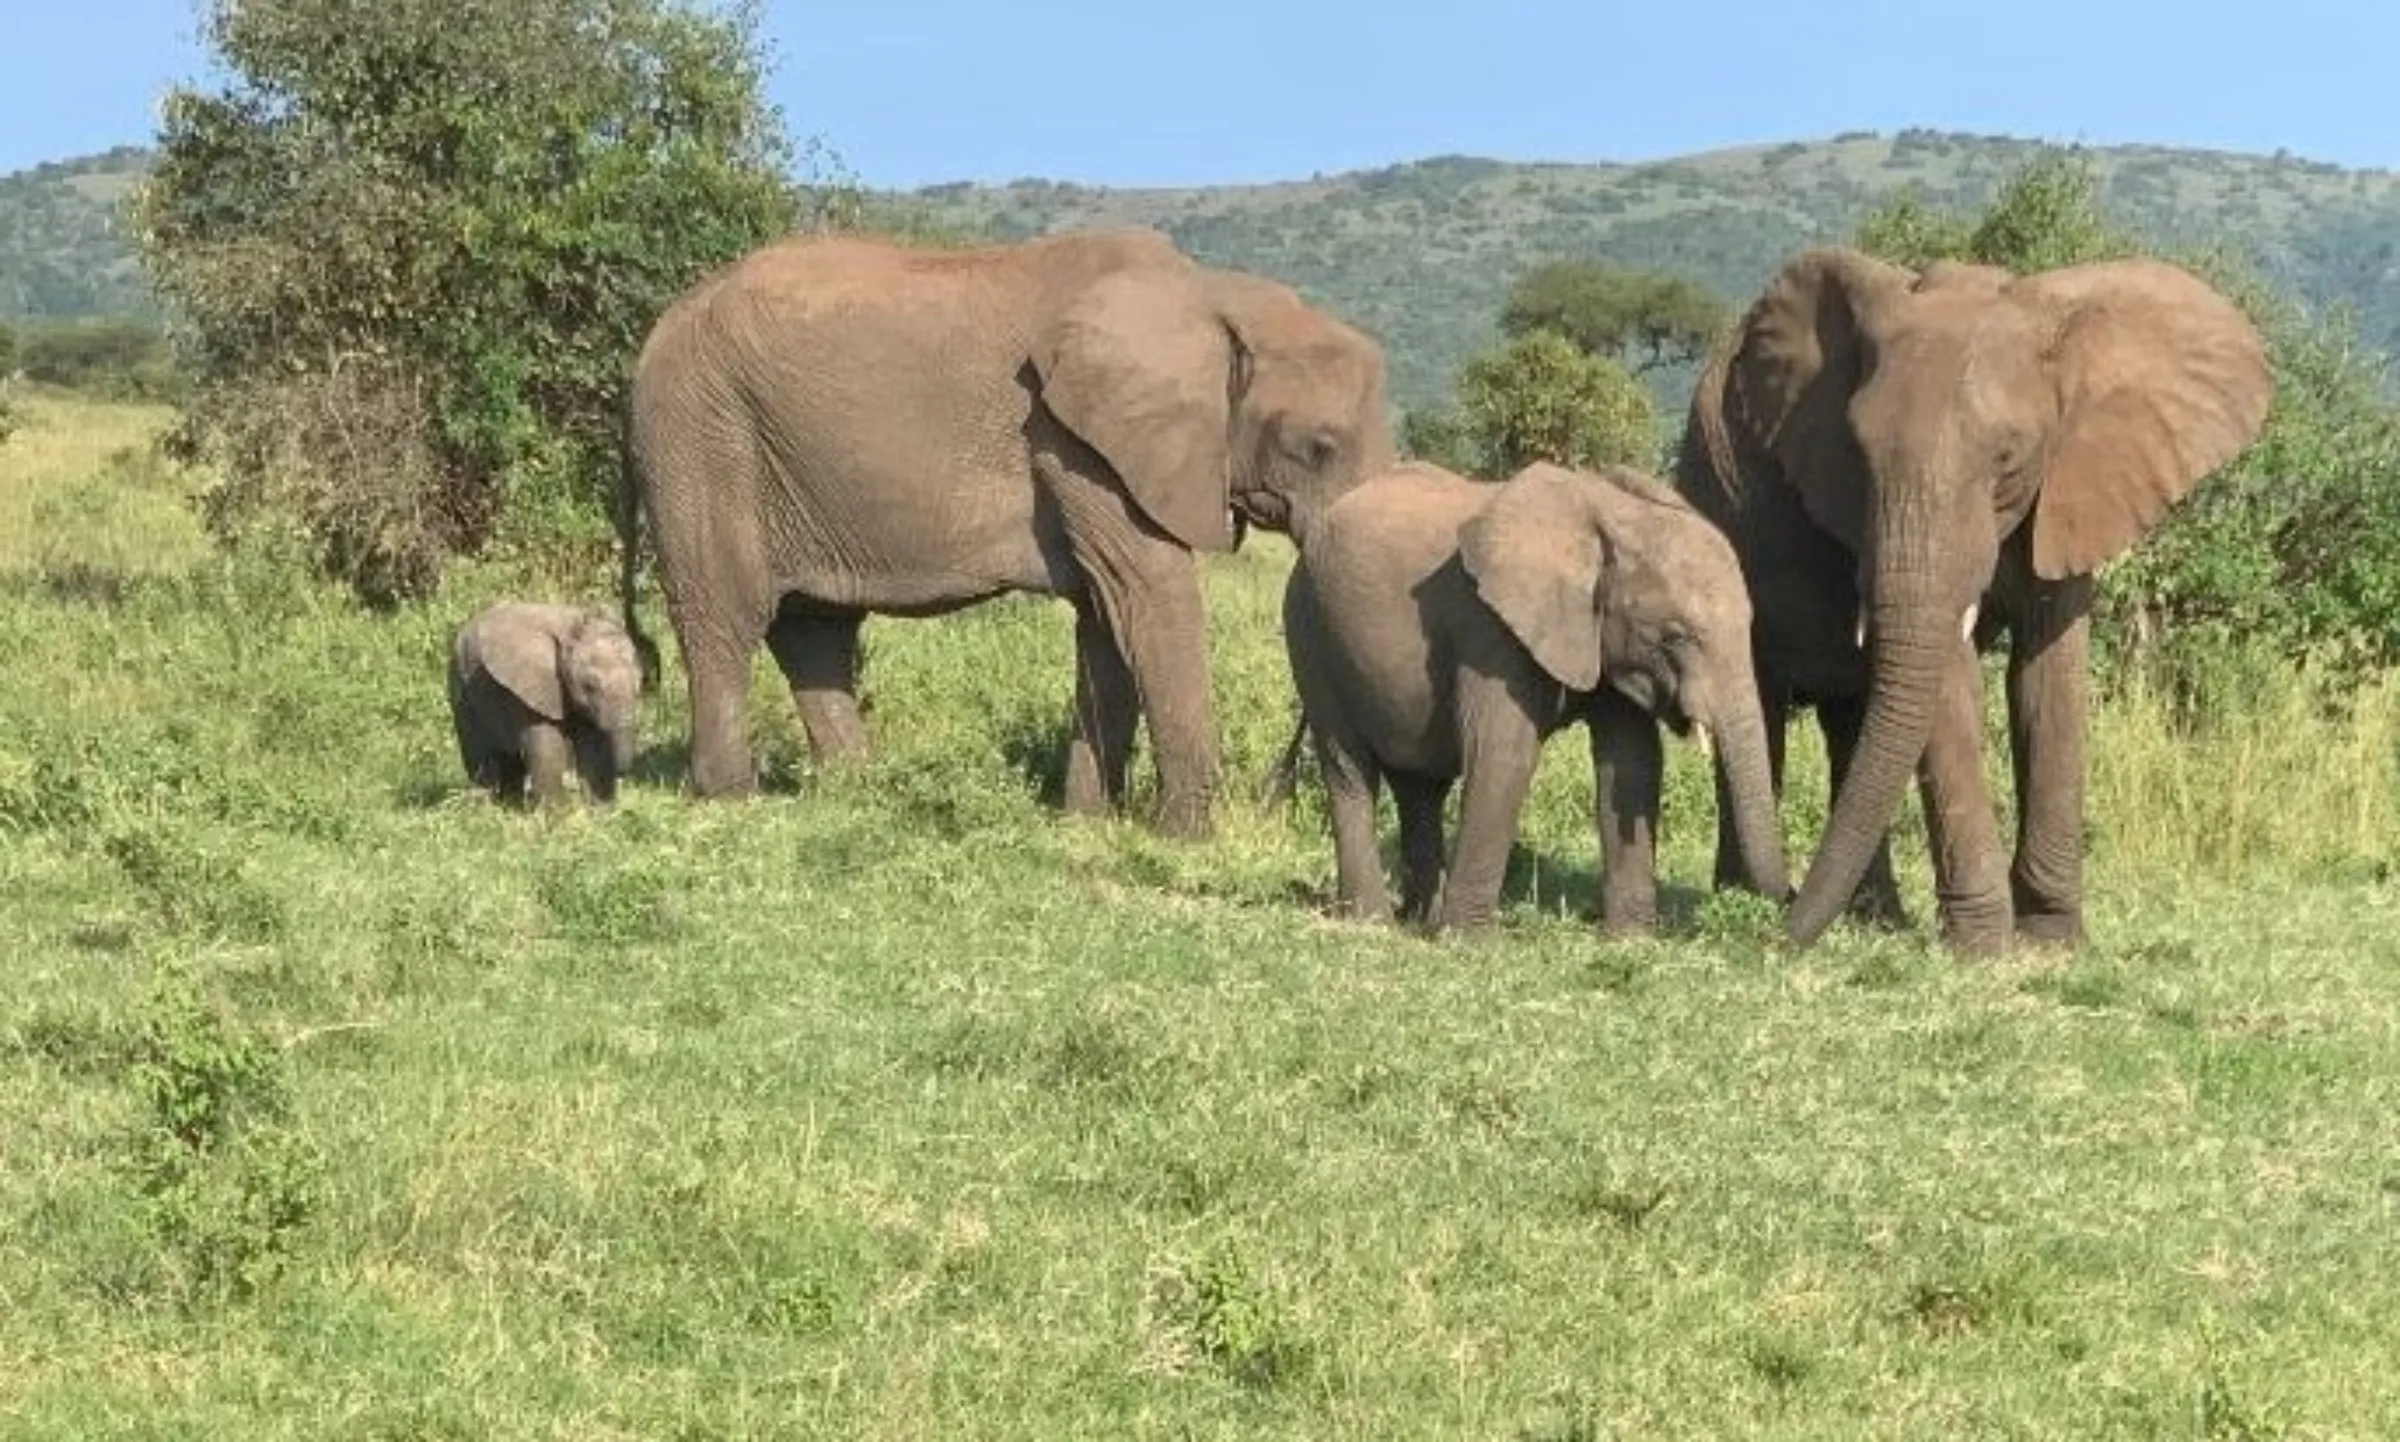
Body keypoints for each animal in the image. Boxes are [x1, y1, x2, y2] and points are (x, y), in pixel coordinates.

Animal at [448, 599, 643, 810]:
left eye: (639, 682)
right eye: (590, 686)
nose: (623, 774)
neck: (569, 630)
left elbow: (594, 747)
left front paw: (600, 811)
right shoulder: (530, 686)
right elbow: (547, 748)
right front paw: (558, 815)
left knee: (509, 761)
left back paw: (511, 806)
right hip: (461, 688)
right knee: (481, 759)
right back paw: (485, 808)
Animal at [619, 221, 1401, 830]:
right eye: (1318, 448)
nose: (1273, 797)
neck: (1211, 297)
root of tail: (657, 331)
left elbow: (1106, 617)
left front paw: (1086, 823)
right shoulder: (1075, 439)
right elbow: (1149, 594)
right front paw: (1184, 836)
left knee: (814, 629)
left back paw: (858, 791)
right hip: (702, 435)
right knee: (727, 615)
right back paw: (732, 797)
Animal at [1296, 458, 1785, 935]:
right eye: (1675, 636)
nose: (1783, 899)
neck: (1605, 515)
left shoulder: (1600, 637)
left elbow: (1632, 762)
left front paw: (1630, 940)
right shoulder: (1490, 630)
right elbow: (1503, 754)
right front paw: (1469, 941)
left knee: (1421, 786)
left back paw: (1420, 919)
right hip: (1313, 631)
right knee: (1349, 770)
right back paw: (1372, 921)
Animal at [1680, 242, 2275, 950]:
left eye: (2007, 459)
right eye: (1857, 457)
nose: (1778, 934)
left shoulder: (2071, 485)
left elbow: (2049, 679)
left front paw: (2051, 941)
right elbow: (1949, 679)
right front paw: (1986, 950)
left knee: (1849, 721)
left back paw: (1870, 917)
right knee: (1764, 711)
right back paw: (1750, 899)